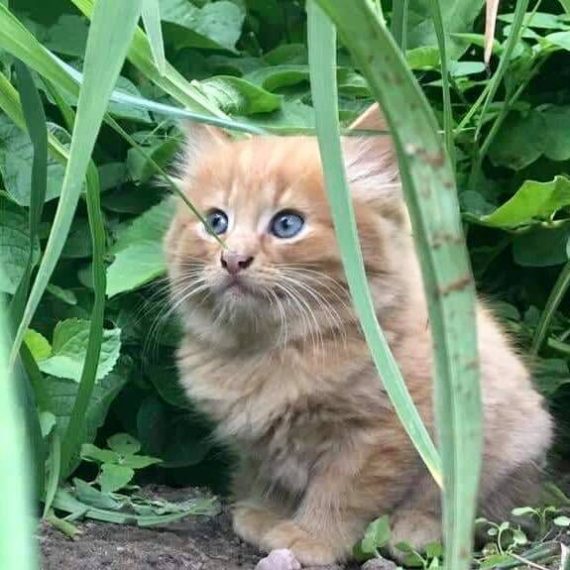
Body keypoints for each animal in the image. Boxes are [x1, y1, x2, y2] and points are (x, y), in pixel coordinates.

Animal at [164, 104, 553, 566]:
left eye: (287, 224)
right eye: (216, 222)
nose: (233, 259)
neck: (272, 350)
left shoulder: (380, 437)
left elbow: (342, 493)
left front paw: (311, 538)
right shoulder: (257, 440)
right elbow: (268, 474)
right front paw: (265, 514)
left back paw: (417, 531)